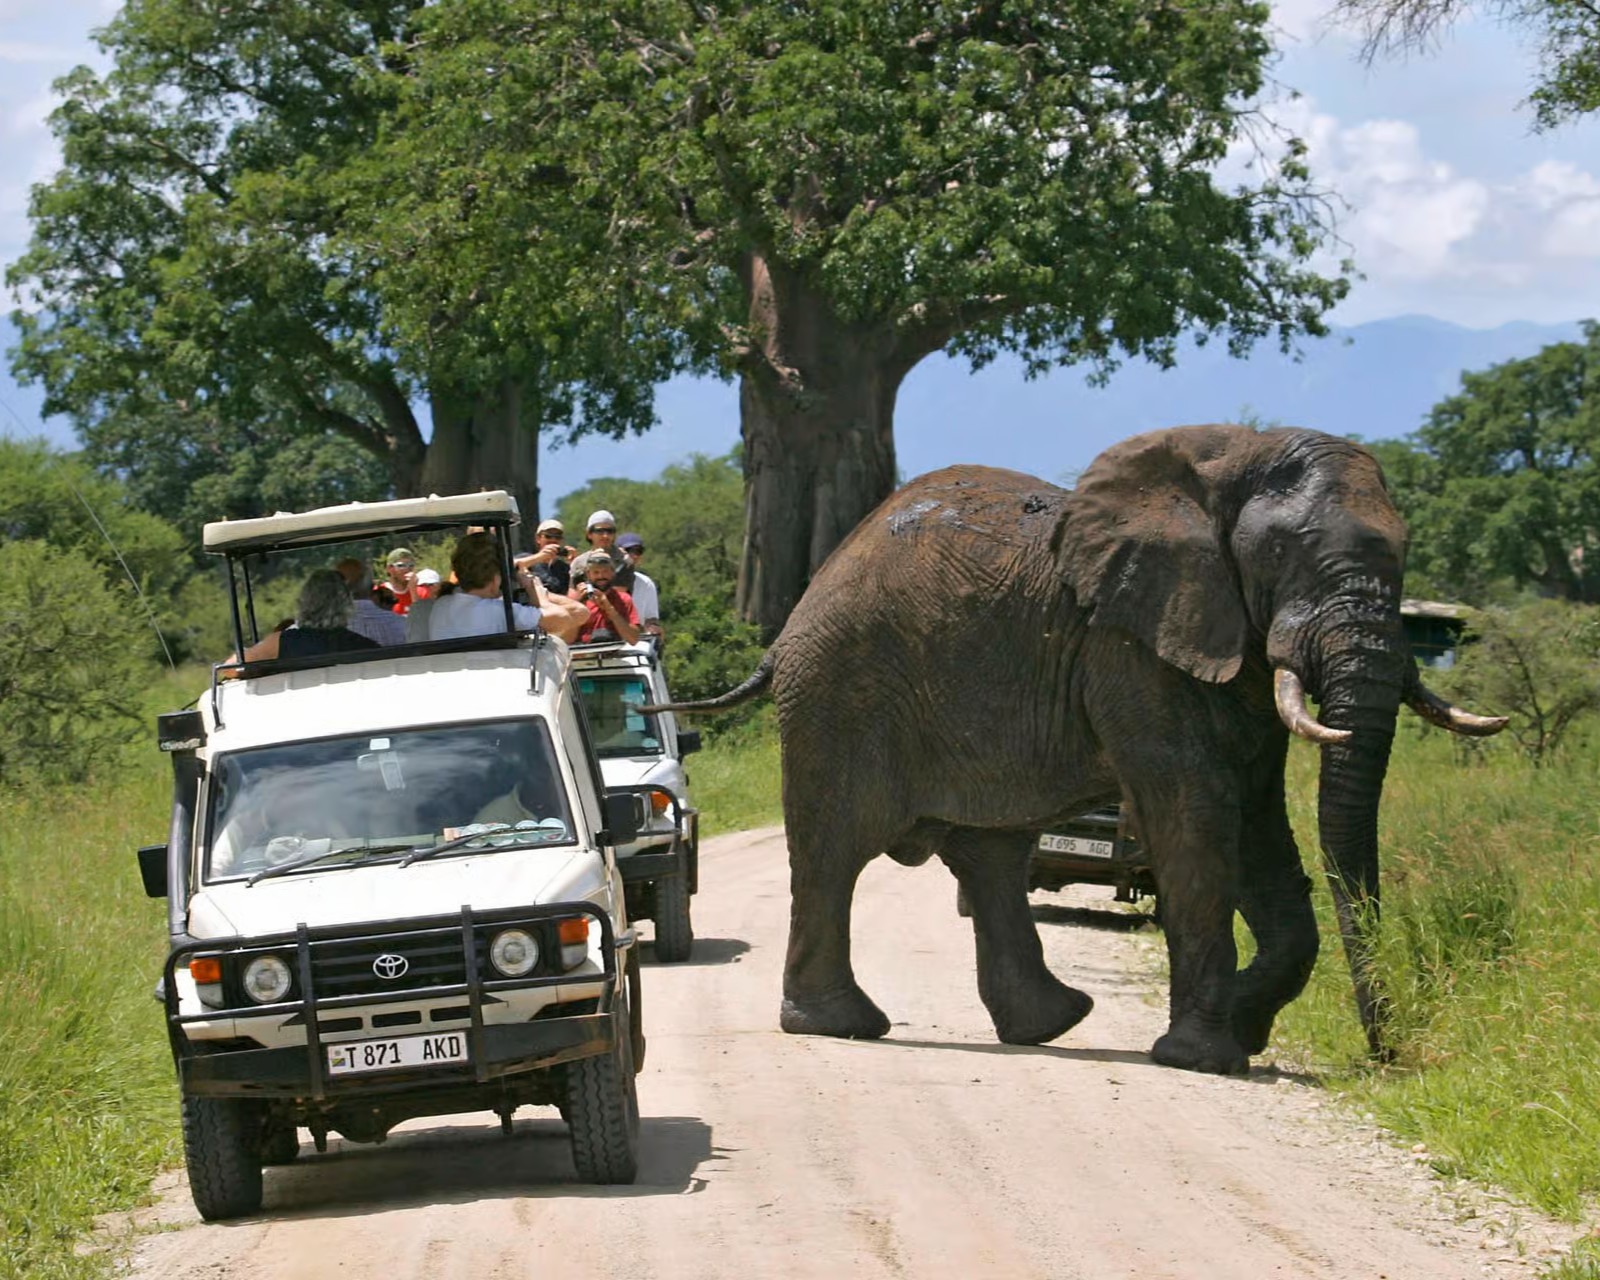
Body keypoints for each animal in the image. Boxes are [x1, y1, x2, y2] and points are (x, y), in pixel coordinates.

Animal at [659, 425, 1505, 1074]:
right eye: (1284, 552)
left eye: (1406, 550)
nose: (1385, 1057)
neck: (1230, 460)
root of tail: (795, 616)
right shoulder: (1127, 645)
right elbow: (1198, 816)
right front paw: (1204, 1057)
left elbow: (1260, 821)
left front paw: (1240, 1025)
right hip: (840, 691)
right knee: (835, 849)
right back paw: (843, 1026)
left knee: (991, 855)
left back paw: (1050, 1024)